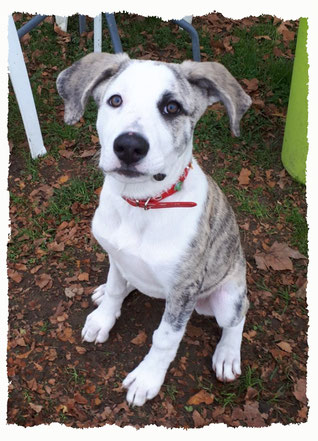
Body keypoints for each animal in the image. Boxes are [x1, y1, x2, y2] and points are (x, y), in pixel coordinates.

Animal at [56, 53, 251, 408]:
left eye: (172, 107)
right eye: (115, 100)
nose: (128, 147)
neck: (143, 203)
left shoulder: (184, 289)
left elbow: (165, 338)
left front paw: (147, 378)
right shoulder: (116, 254)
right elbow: (116, 287)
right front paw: (104, 317)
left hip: (228, 296)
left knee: (238, 315)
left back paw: (228, 354)